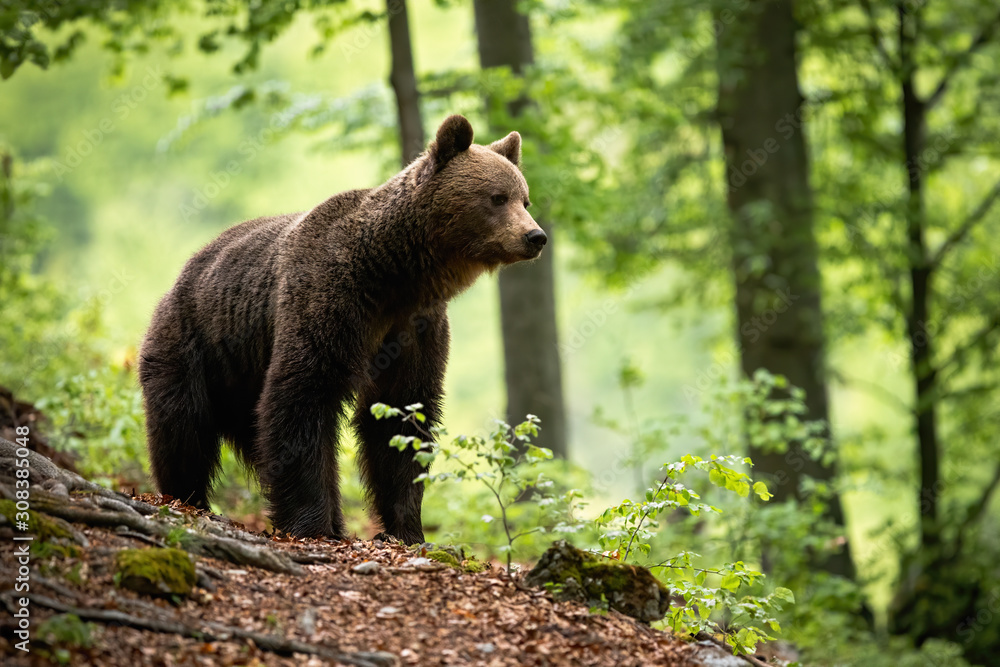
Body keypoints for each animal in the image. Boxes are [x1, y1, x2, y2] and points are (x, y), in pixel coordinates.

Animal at [138, 115, 546, 544]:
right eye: (497, 197)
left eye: (525, 199)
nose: (535, 236)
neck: (396, 275)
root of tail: (182, 275)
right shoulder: (330, 301)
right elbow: (303, 397)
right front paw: (314, 524)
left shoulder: (415, 327)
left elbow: (402, 417)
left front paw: (407, 528)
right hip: (193, 343)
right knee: (183, 427)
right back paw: (187, 497)